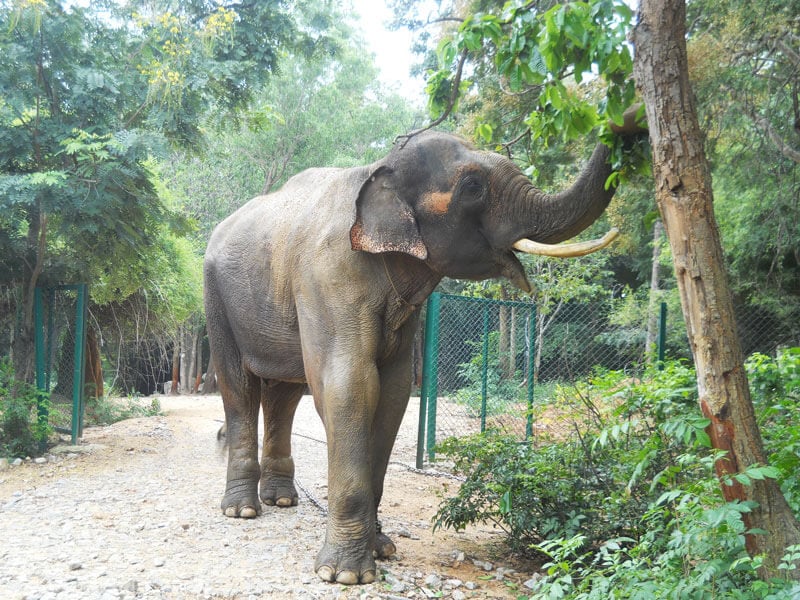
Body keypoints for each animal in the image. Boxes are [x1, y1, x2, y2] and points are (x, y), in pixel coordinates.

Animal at [203, 115, 648, 584]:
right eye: (472, 186)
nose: (628, 125)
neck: (377, 169)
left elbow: (393, 392)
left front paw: (382, 549)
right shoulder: (328, 276)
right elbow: (350, 386)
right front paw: (345, 575)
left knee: (285, 393)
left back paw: (282, 501)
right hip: (215, 296)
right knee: (239, 388)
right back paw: (242, 510)